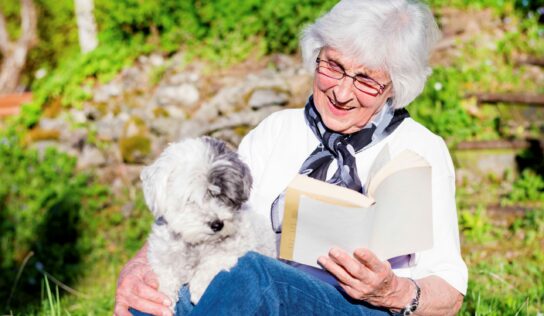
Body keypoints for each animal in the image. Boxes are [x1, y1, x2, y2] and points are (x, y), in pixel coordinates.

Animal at [140, 136, 276, 308]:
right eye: (191, 198)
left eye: (224, 196)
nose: (217, 224)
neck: (197, 244)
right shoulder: (161, 253)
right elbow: (165, 272)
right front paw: (165, 295)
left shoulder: (239, 247)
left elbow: (214, 261)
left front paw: (200, 287)